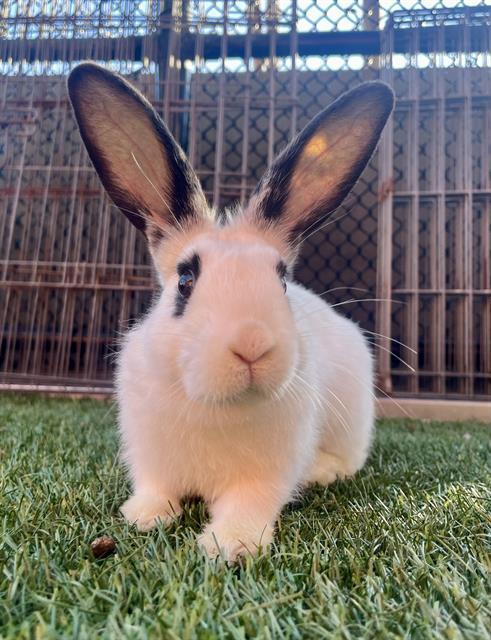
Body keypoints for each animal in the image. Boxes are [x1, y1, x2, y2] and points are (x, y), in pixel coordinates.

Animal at [68, 63, 394, 562]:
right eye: (185, 281)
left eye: (282, 281)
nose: (251, 345)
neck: (217, 405)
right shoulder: (151, 458)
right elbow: (156, 488)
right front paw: (144, 516)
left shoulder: (263, 479)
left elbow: (248, 505)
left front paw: (229, 545)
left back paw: (321, 471)